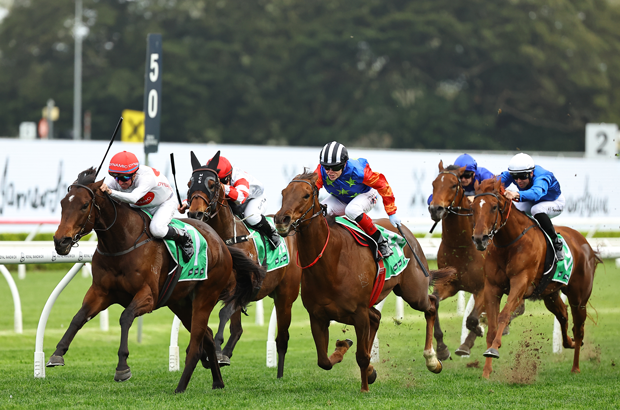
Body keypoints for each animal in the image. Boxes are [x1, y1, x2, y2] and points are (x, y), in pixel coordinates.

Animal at [48, 167, 262, 394]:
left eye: (84, 205)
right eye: (63, 203)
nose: (60, 241)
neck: (122, 243)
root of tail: (222, 244)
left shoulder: (148, 296)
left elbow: (125, 317)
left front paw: (122, 367)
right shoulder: (100, 292)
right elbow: (78, 318)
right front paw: (57, 354)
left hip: (206, 295)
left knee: (199, 340)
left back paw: (184, 385)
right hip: (181, 303)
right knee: (208, 336)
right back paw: (217, 382)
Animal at [183, 152, 302, 380]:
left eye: (212, 184)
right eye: (189, 183)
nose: (195, 214)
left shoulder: (241, 288)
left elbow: (223, 314)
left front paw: (217, 349)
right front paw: (206, 352)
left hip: (285, 296)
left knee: (282, 336)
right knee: (238, 329)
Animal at [272, 171, 456, 392]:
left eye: (306, 195)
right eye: (283, 193)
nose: (281, 219)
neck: (331, 261)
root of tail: (409, 234)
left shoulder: (359, 313)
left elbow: (361, 356)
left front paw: (364, 388)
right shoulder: (317, 316)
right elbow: (324, 361)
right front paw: (348, 351)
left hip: (413, 292)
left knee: (431, 305)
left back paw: (433, 360)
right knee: (377, 317)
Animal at [426, 162, 524, 358]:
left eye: (453, 185)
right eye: (434, 184)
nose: (435, 209)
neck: (461, 245)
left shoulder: (482, 288)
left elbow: (472, 319)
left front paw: (476, 331)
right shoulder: (449, 284)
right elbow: (435, 301)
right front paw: (441, 348)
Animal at [470, 178, 600, 380]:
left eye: (493, 207)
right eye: (473, 207)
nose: (479, 238)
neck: (510, 243)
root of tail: (584, 242)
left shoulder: (520, 284)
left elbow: (504, 315)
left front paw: (494, 350)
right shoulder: (492, 287)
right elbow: (491, 327)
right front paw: (486, 371)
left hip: (579, 297)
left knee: (579, 328)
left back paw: (575, 367)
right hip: (550, 294)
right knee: (563, 314)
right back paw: (568, 343)